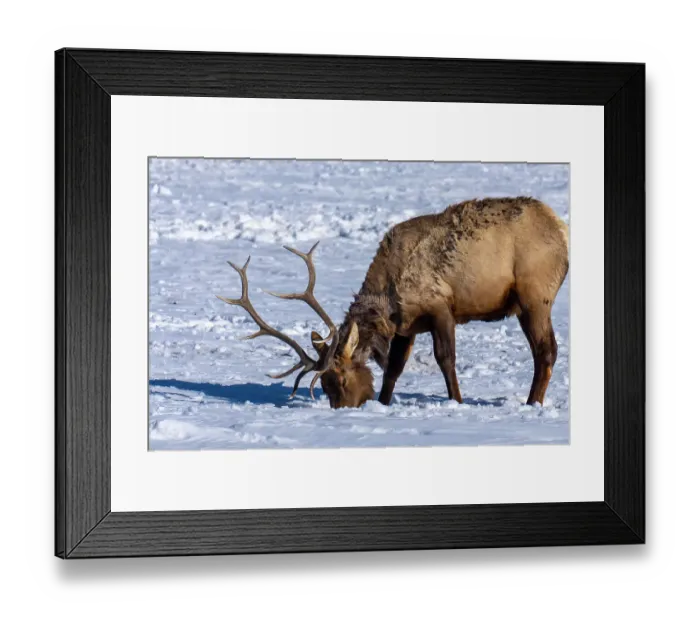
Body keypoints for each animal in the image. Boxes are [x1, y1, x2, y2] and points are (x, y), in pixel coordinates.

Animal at [217, 197, 569, 409]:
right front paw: (384, 402)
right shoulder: (406, 325)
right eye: (325, 387)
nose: (346, 408)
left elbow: (445, 358)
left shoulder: (440, 307)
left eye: (340, 379)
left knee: (546, 350)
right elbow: (393, 368)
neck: (388, 300)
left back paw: (532, 403)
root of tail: (562, 229)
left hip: (534, 296)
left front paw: (456, 401)